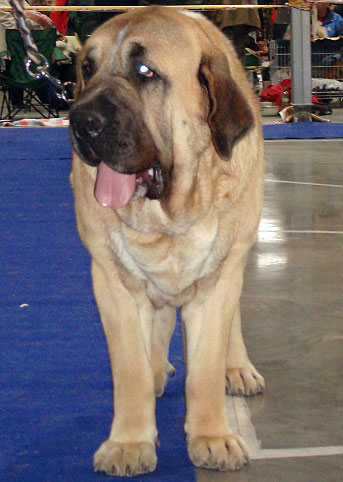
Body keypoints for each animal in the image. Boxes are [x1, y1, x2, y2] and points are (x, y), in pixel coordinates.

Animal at [68, 4, 264, 478]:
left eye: (145, 72)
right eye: (87, 68)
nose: (80, 121)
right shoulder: (112, 281)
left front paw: (211, 436)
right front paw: (129, 442)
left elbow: (206, 368)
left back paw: (238, 368)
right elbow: (130, 370)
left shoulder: (219, 279)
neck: (169, 219)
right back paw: (157, 368)